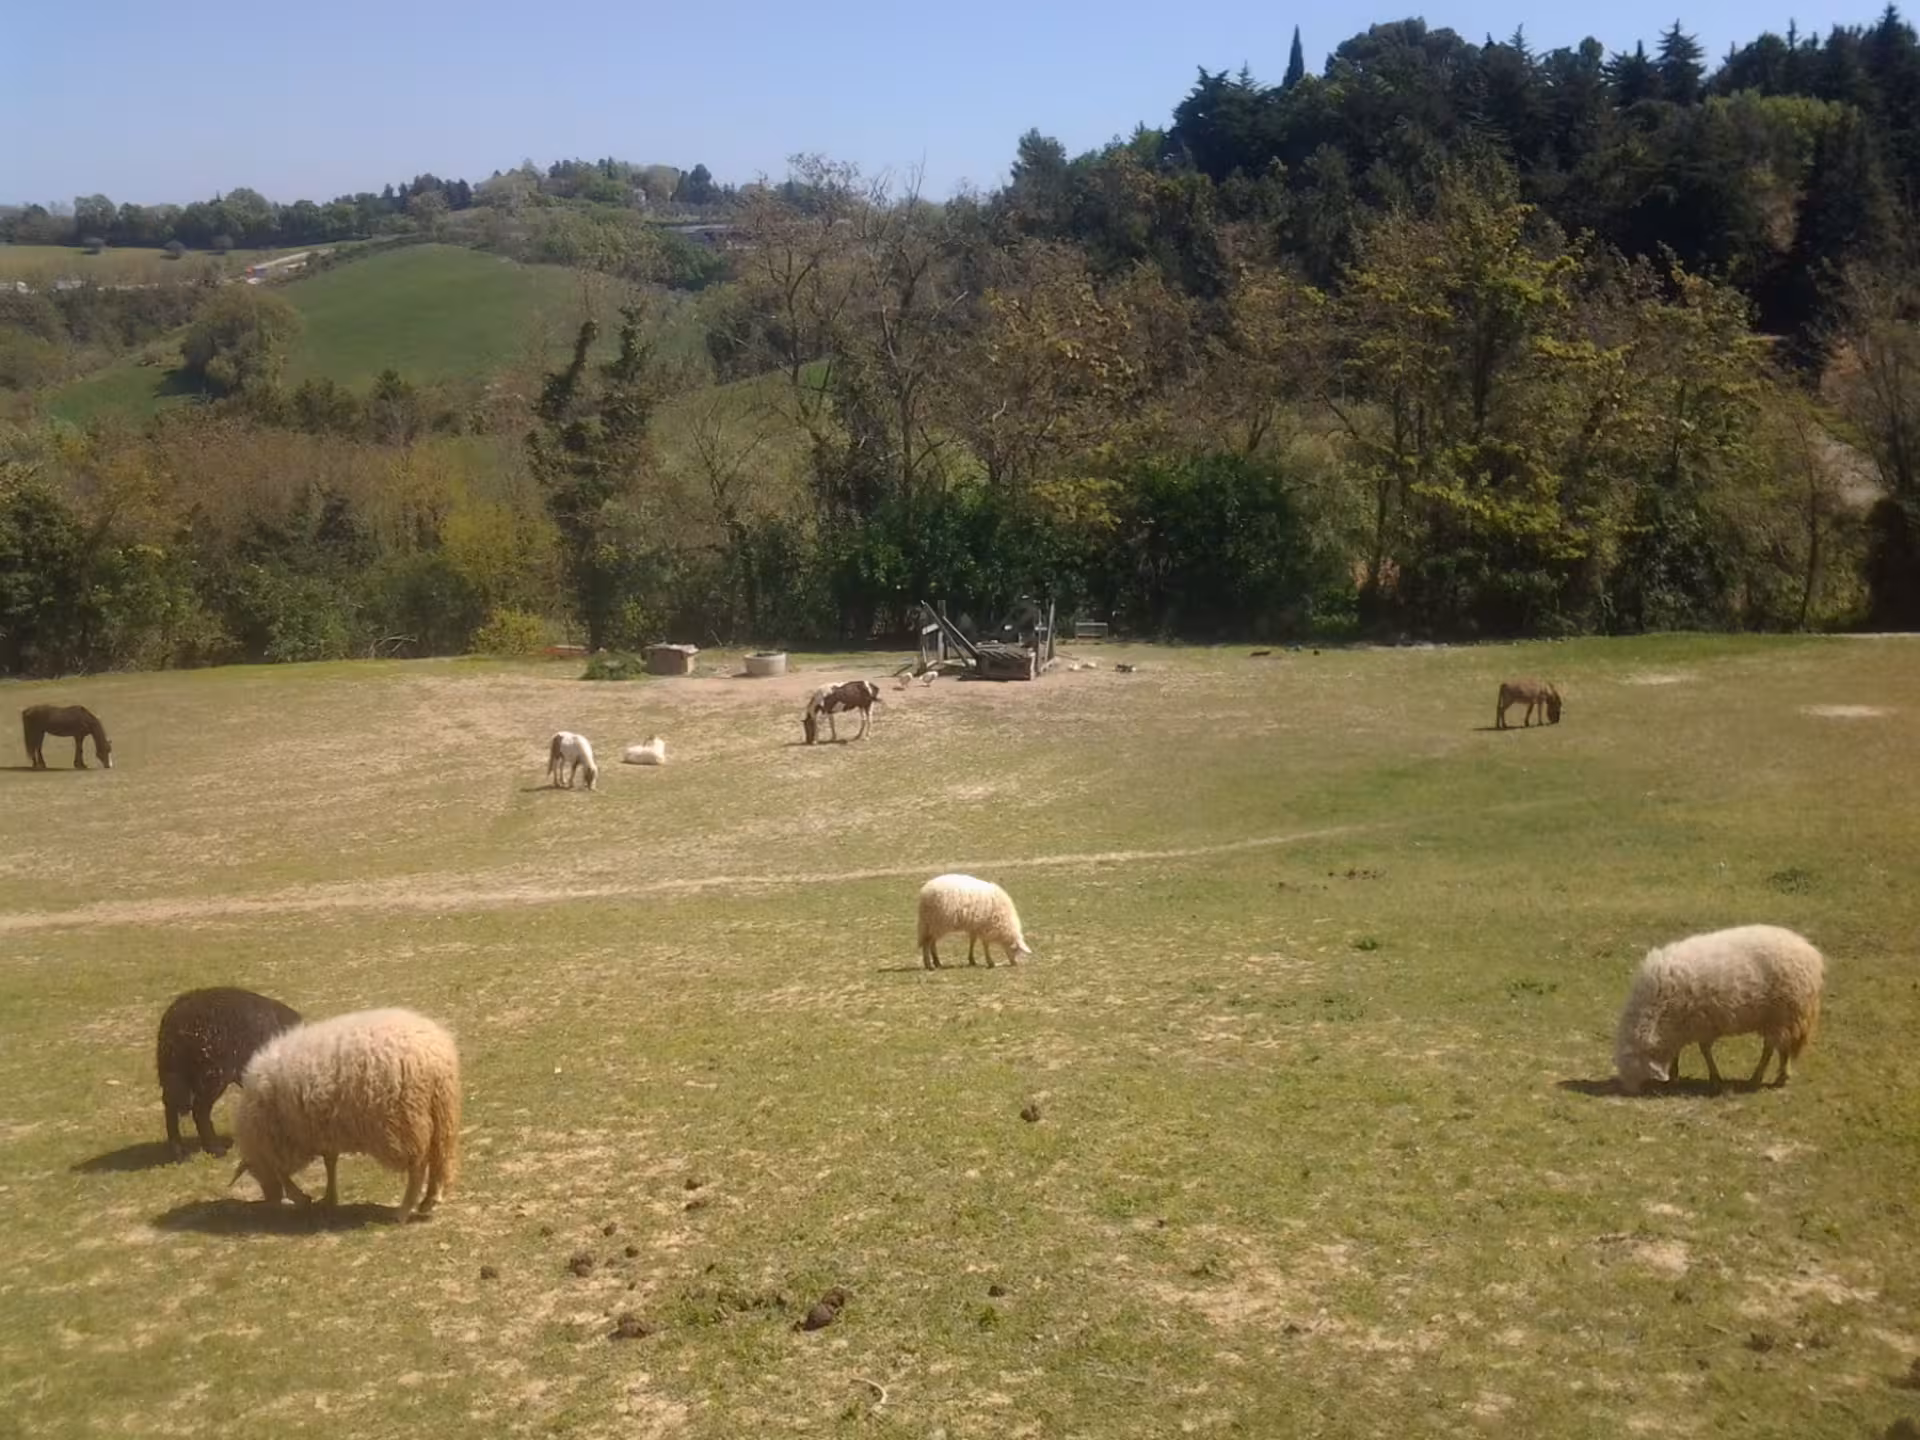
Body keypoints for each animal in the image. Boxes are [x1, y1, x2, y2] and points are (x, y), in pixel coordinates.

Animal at [156, 987, 303, 1159]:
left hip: (176, 1077)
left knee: (171, 1109)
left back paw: (180, 1154)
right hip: (211, 1078)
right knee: (199, 1111)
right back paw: (215, 1150)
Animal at [233, 1008, 462, 1222]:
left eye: (254, 1172)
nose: (271, 1200)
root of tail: (436, 1055)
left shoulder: (287, 1136)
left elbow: (285, 1170)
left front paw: (301, 1197)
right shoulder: (323, 1131)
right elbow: (330, 1162)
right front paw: (328, 1199)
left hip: (405, 1120)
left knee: (418, 1167)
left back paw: (403, 1211)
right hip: (441, 1114)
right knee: (441, 1157)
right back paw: (431, 1199)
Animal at [1613, 925, 1825, 1095]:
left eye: (1633, 1066)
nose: (1628, 1090)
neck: (1657, 1008)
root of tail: (1810, 952)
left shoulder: (1701, 1023)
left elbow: (1704, 1050)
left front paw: (1714, 1079)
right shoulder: (1681, 1026)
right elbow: (1678, 1051)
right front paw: (1674, 1076)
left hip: (1786, 1013)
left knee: (1779, 1049)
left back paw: (1775, 1077)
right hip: (1777, 1018)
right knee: (1773, 1047)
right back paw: (1763, 1077)